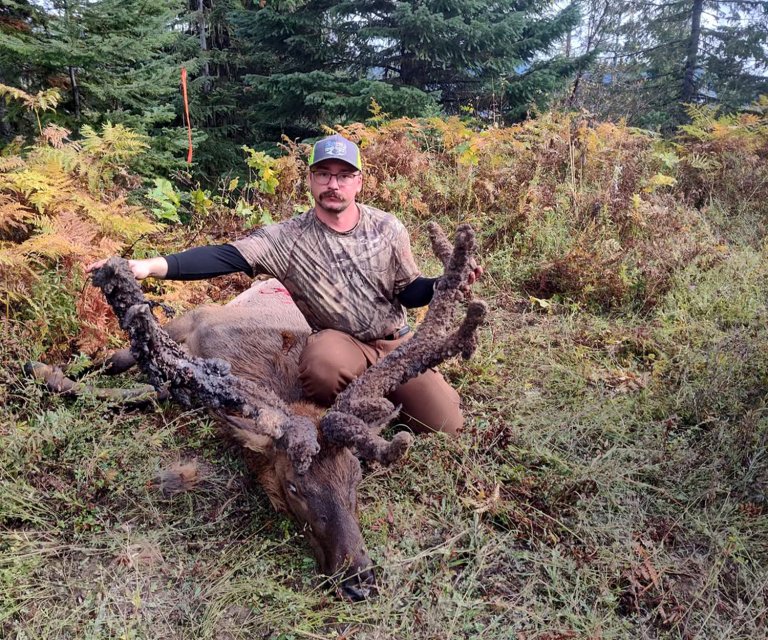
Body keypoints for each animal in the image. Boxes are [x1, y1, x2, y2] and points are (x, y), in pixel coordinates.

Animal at [27, 223, 488, 601]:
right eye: (294, 487)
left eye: (356, 477)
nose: (360, 582)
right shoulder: (193, 324)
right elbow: (116, 364)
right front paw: (45, 369)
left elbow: (138, 388)